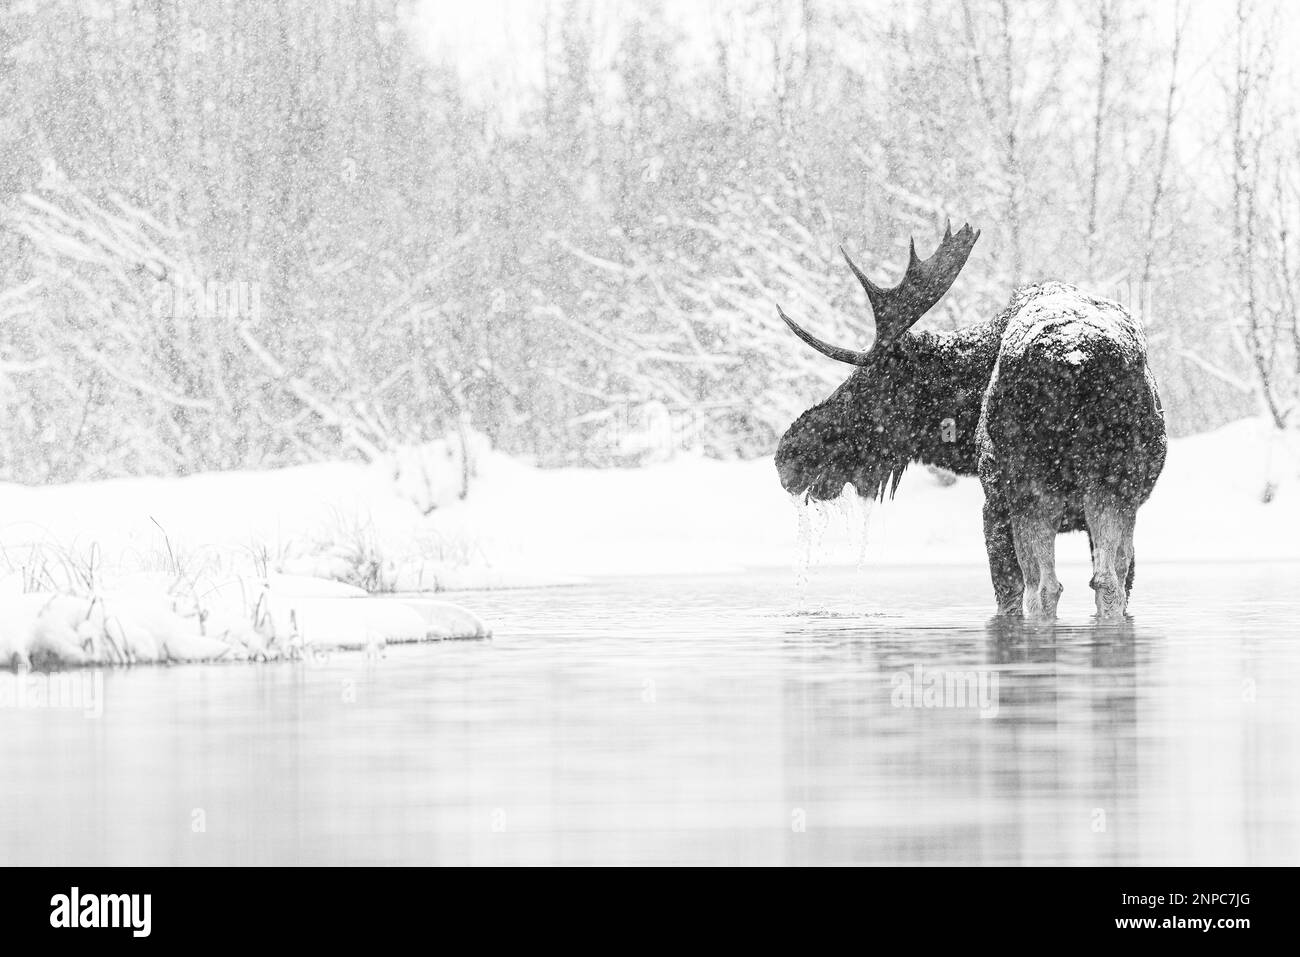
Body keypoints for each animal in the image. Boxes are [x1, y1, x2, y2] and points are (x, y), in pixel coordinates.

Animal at [774, 222, 1167, 620]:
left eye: (866, 382)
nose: (789, 453)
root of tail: (1074, 360)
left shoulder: (994, 504)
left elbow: (1008, 594)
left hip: (1029, 488)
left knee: (1043, 589)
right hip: (1115, 485)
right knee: (1108, 584)